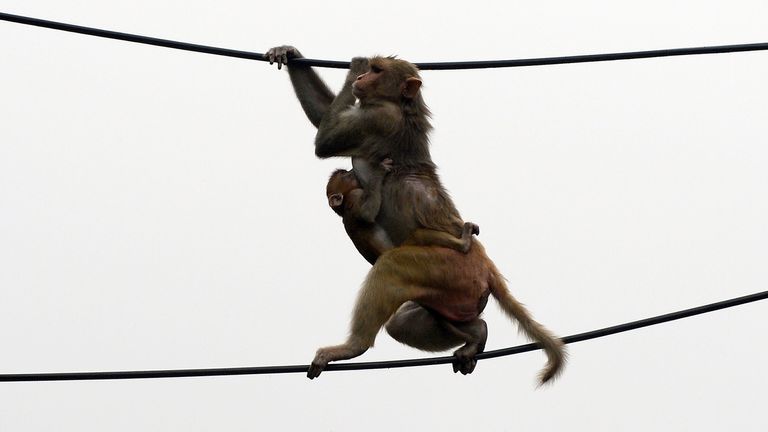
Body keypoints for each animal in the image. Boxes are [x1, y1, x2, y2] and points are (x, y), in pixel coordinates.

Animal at [326, 159, 480, 264]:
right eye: (346, 176)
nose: (352, 171)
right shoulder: (355, 195)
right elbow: (366, 214)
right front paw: (380, 171)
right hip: (406, 251)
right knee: (419, 235)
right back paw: (464, 243)